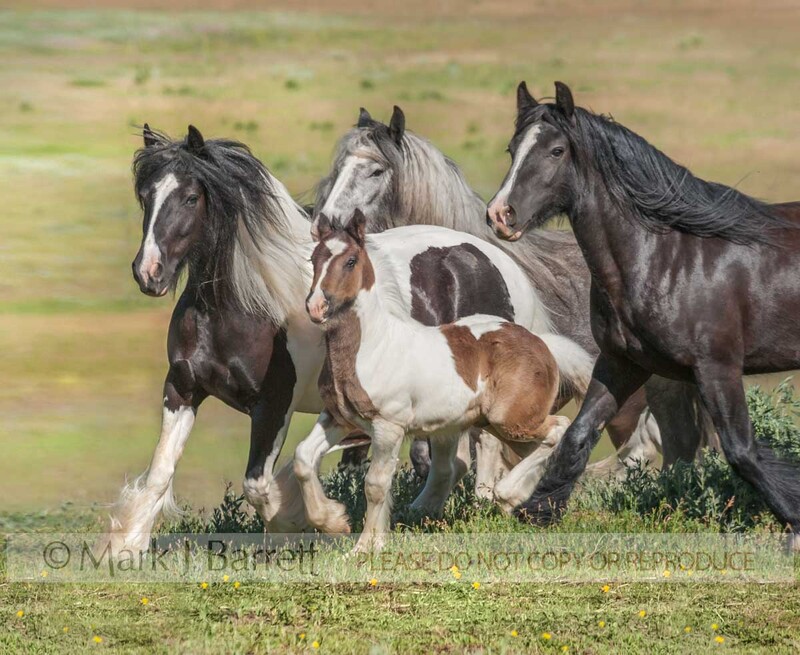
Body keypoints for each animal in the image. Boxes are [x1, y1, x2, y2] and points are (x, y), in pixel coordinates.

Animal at [297, 211, 572, 550]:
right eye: (314, 259)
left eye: (350, 261)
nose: (316, 306)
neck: (372, 346)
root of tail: (538, 341)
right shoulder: (339, 418)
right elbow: (303, 459)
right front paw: (333, 521)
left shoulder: (388, 426)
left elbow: (375, 484)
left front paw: (366, 547)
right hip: (498, 424)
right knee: (532, 448)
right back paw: (514, 500)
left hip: (510, 419)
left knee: (557, 428)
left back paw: (506, 494)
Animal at [486, 81, 800, 546]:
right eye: (512, 149)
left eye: (557, 150)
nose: (499, 215)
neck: (665, 257)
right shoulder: (622, 362)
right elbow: (579, 435)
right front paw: (536, 511)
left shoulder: (717, 368)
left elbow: (742, 451)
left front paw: (794, 521)